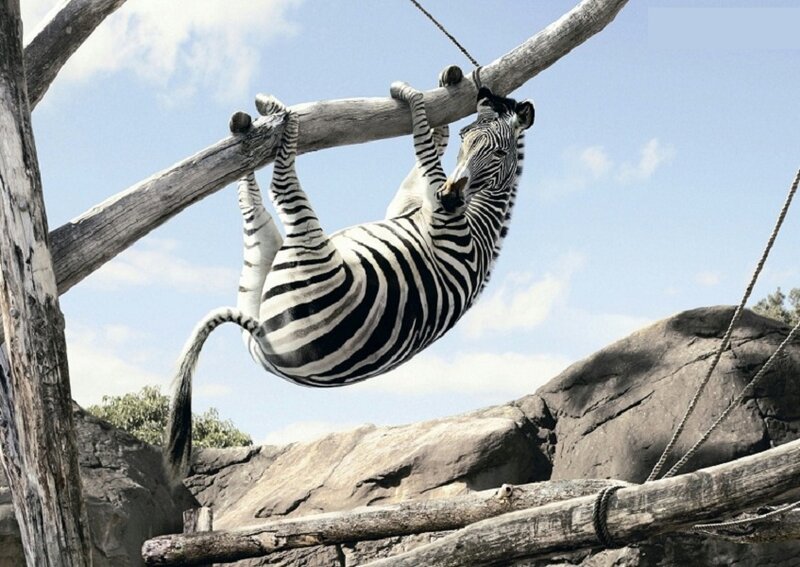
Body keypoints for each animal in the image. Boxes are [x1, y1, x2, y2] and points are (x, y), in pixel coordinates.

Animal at [166, 66, 534, 477]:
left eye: (498, 152)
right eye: (466, 138)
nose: (451, 196)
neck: (480, 220)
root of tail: (265, 341)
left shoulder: (441, 219)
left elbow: (423, 146)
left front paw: (409, 95)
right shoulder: (408, 205)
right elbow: (427, 150)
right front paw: (439, 92)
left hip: (305, 248)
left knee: (281, 185)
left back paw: (281, 115)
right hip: (257, 269)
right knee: (251, 202)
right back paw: (248, 133)